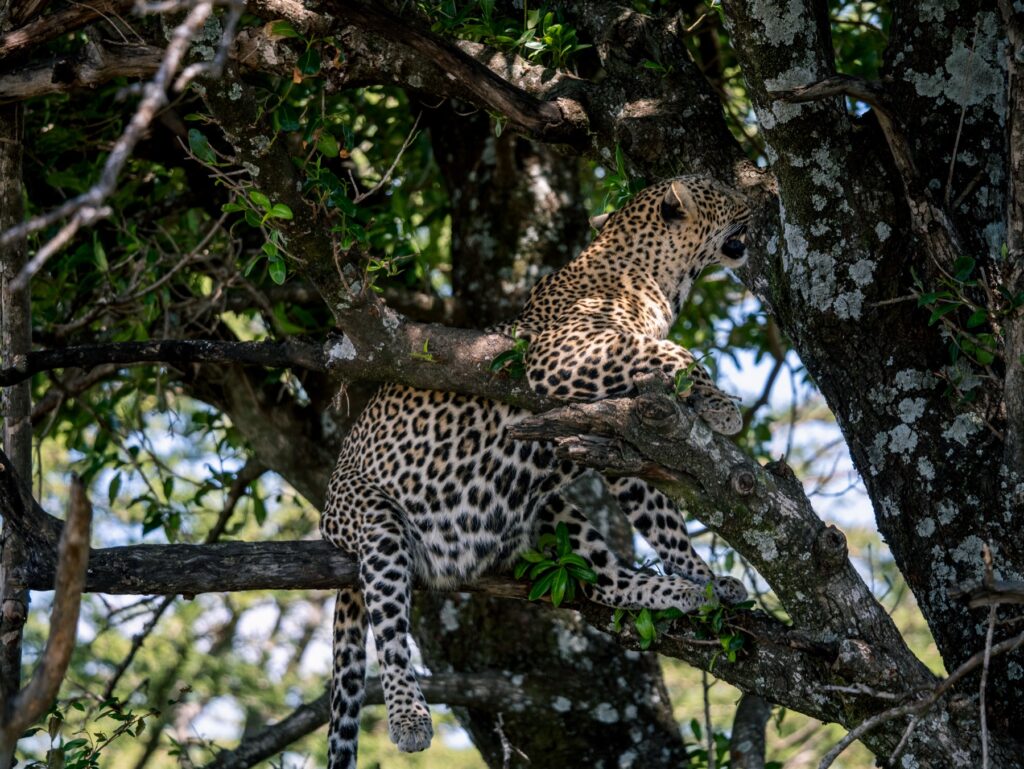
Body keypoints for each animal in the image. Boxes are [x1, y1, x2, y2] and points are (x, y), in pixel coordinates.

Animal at [320, 175, 752, 769]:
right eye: (717, 188)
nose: (754, 194)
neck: (655, 278)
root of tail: (328, 518)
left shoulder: (622, 433)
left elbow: (662, 520)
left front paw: (702, 574)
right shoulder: (562, 355)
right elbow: (673, 350)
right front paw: (722, 404)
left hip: (547, 510)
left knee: (606, 580)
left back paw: (683, 594)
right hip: (376, 523)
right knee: (389, 631)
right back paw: (408, 718)